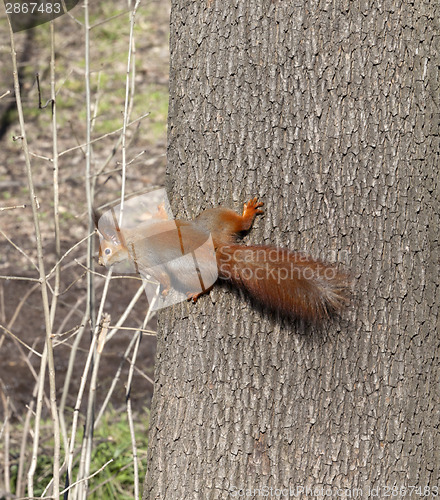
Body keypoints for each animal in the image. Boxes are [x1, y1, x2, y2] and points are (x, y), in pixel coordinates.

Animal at [94, 198, 348, 320]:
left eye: (106, 251)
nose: (99, 264)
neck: (131, 237)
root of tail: (216, 252)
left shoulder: (147, 259)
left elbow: (162, 277)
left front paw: (163, 290)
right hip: (216, 220)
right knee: (240, 225)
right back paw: (247, 214)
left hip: (188, 264)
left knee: (208, 282)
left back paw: (197, 291)